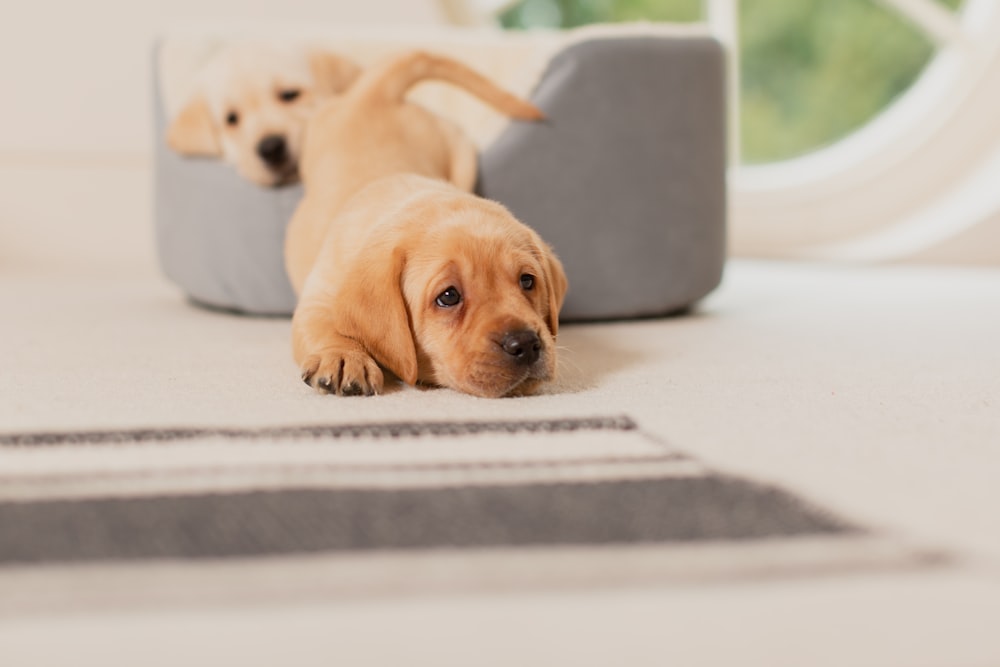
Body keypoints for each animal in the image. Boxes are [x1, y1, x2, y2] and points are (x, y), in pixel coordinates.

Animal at [290, 52, 568, 400]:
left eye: (528, 281)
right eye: (448, 297)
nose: (527, 344)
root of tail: (375, 94)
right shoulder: (318, 296)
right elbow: (322, 324)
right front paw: (342, 356)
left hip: (462, 155)